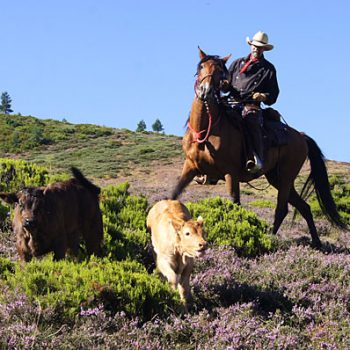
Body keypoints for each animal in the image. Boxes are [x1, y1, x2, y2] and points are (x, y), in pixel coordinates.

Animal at [171, 47, 346, 247]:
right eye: (201, 67)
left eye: (220, 72)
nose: (204, 91)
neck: (205, 131)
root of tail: (300, 136)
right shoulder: (190, 167)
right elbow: (173, 195)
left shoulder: (231, 174)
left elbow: (235, 204)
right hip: (276, 177)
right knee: (304, 207)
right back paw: (316, 242)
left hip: (285, 177)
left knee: (282, 209)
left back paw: (270, 238)